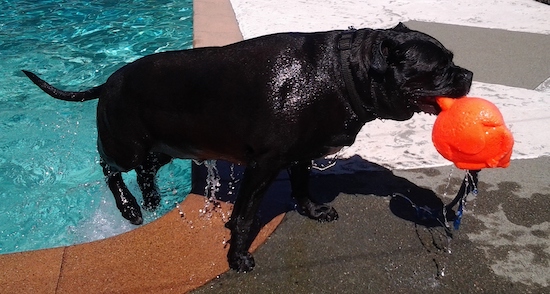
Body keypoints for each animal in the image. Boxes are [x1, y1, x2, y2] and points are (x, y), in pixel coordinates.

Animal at [23, 23, 472, 274]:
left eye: (454, 60)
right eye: (439, 67)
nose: (467, 74)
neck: (342, 73)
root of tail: (108, 82)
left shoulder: (299, 154)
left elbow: (302, 186)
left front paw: (312, 210)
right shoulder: (263, 165)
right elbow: (243, 217)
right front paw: (237, 258)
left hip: (166, 146)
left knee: (146, 170)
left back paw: (149, 201)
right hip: (125, 142)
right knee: (109, 166)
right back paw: (130, 207)